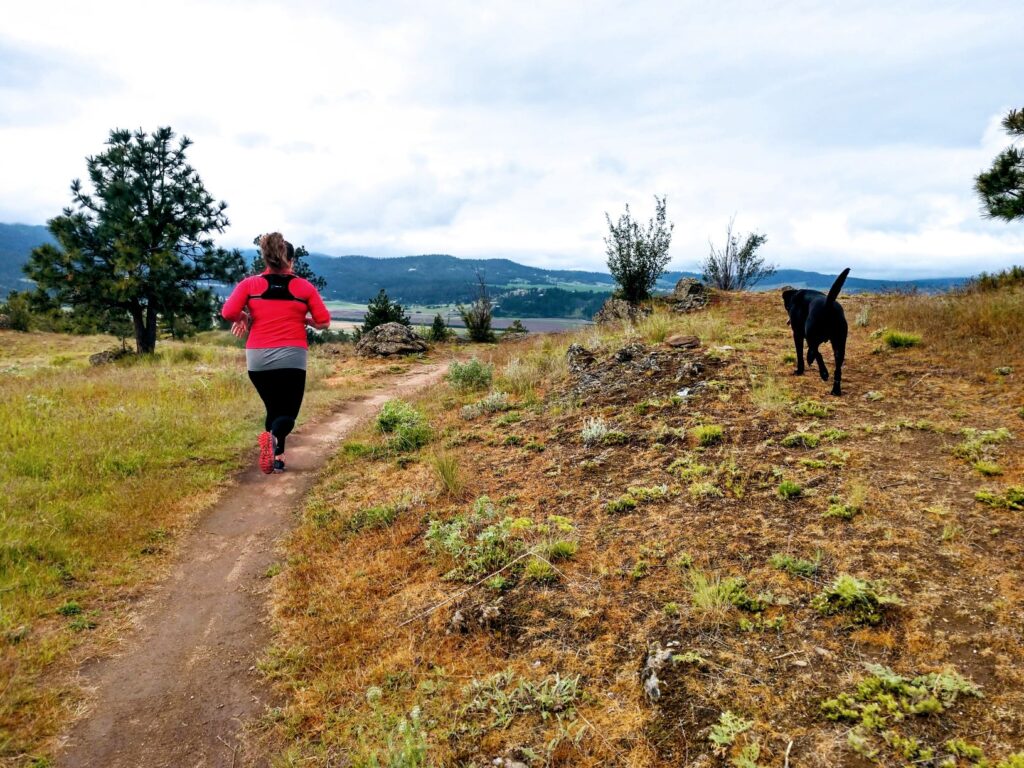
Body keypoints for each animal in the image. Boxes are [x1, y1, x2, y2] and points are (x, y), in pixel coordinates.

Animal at [778, 268, 851, 397]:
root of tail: (828, 304)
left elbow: (800, 354)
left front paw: (800, 370)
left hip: (810, 335)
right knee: (837, 368)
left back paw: (824, 373)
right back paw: (836, 390)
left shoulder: (797, 334)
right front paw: (809, 359)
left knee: (818, 354)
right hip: (839, 344)